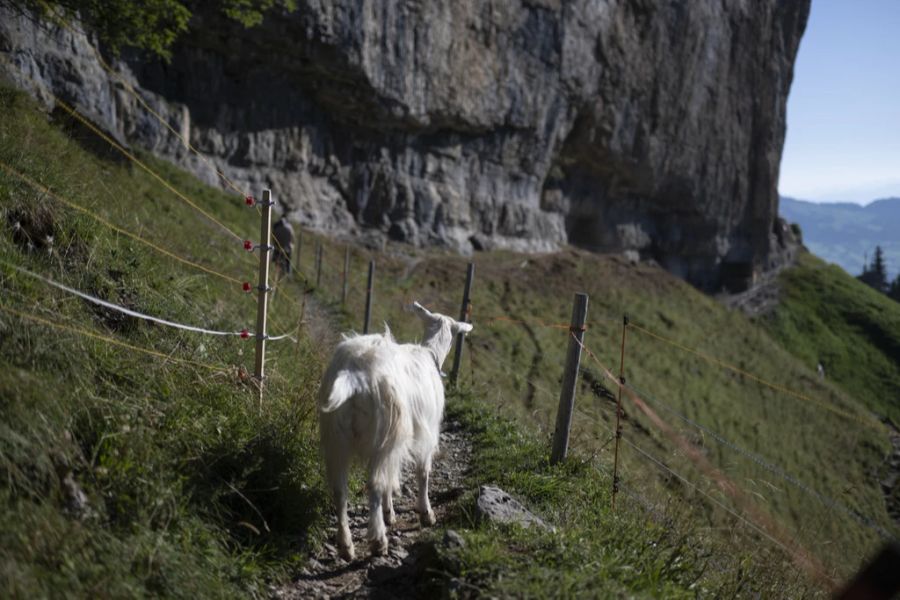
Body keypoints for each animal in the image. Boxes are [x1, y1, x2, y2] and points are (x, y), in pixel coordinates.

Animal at [316, 302, 472, 560]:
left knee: (340, 489)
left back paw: (346, 545)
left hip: (337, 437)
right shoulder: (425, 432)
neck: (429, 354)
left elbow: (393, 475)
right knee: (375, 484)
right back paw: (378, 540)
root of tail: (353, 375)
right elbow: (423, 472)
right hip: (385, 432)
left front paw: (390, 512)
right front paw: (425, 513)